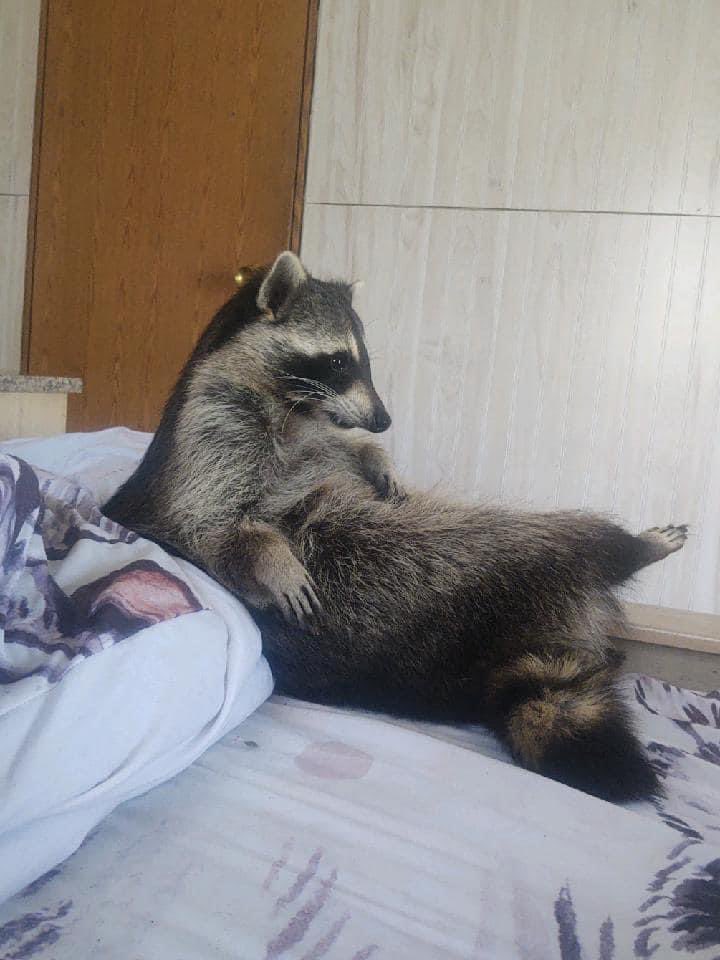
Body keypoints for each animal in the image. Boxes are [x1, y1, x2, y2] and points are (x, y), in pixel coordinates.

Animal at [105, 251, 688, 802]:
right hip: (395, 579)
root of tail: (481, 667)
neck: (293, 405)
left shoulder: (318, 433)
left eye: (366, 360)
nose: (384, 421)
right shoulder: (211, 431)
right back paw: (623, 549)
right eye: (337, 360)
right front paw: (268, 554)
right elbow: (214, 525)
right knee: (504, 537)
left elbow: (345, 450)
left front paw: (374, 453)